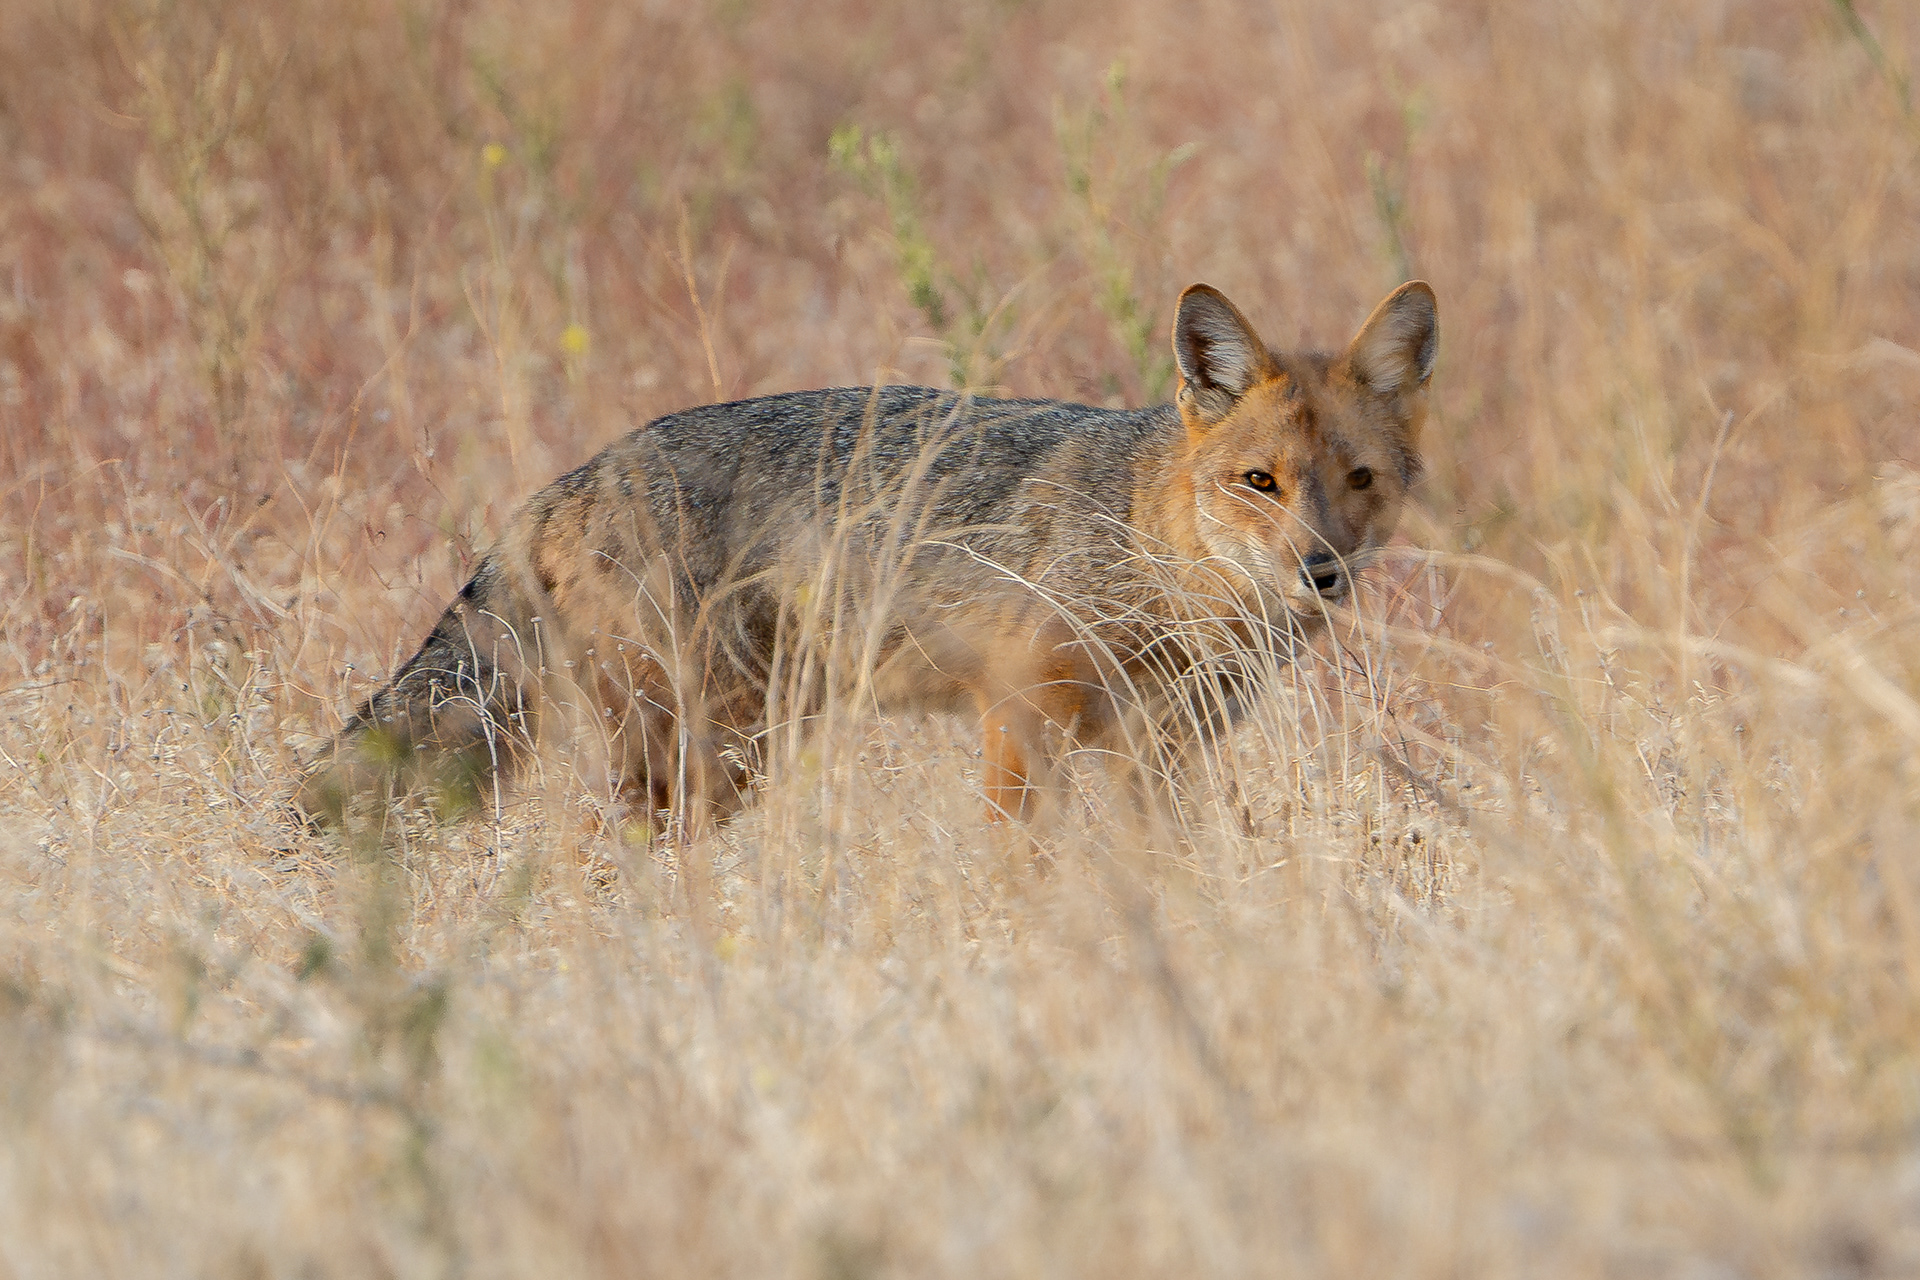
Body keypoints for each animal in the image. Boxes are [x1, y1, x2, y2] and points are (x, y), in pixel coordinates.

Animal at [296, 279, 1437, 832]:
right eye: (1261, 483)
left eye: (1359, 481)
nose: (1321, 572)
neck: (1153, 551)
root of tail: (561, 482)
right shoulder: (1017, 721)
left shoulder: (1159, 754)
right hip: (707, 757)